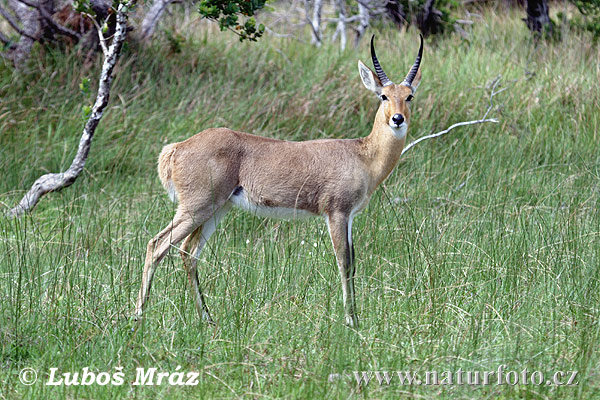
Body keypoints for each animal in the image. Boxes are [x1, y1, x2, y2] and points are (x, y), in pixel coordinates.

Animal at [135, 36, 424, 326]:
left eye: (409, 96)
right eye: (383, 95)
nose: (397, 119)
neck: (363, 155)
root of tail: (176, 148)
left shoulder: (350, 216)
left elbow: (353, 261)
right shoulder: (337, 213)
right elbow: (344, 262)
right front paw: (351, 322)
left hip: (217, 209)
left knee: (188, 252)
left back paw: (208, 318)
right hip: (197, 207)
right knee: (157, 244)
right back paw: (137, 317)